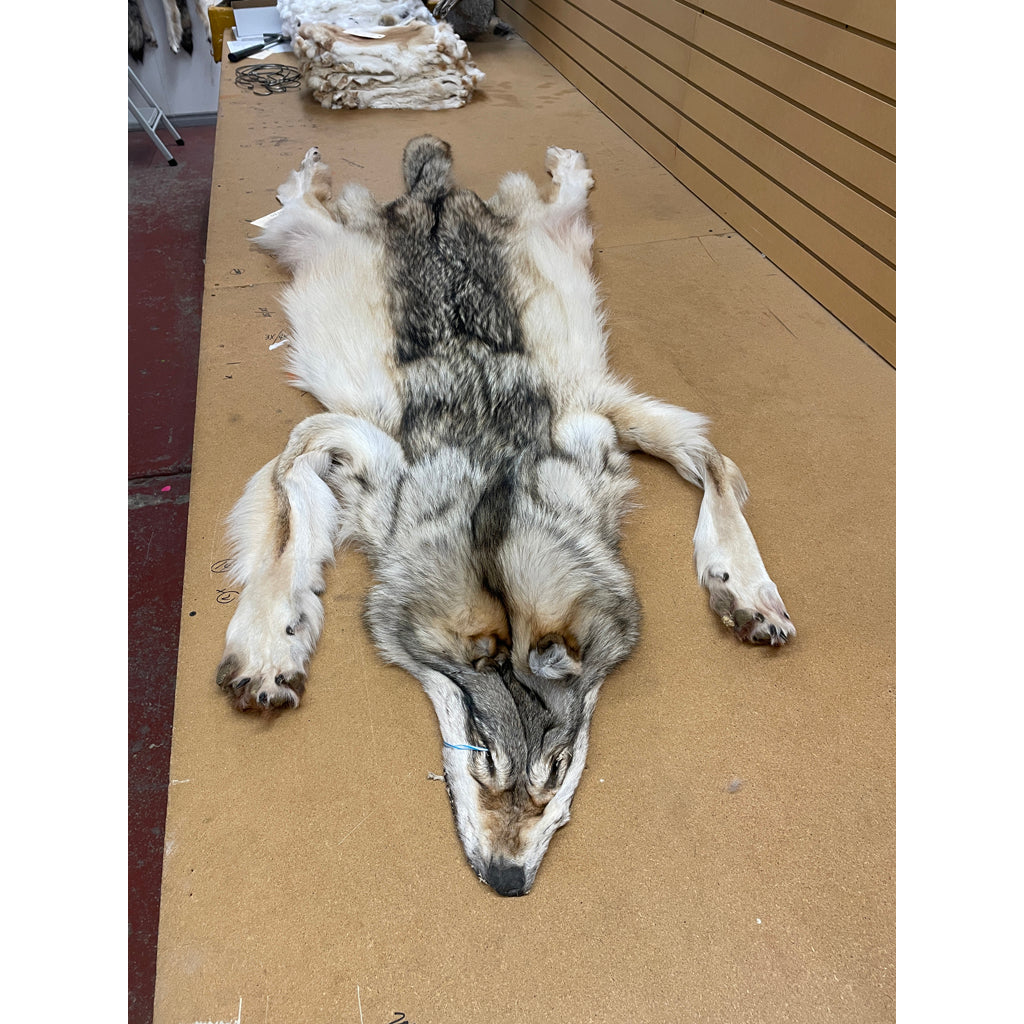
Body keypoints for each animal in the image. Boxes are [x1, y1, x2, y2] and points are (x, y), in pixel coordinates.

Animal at [215, 137, 794, 896]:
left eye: (556, 773)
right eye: (483, 758)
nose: (508, 881)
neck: (496, 506)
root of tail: (434, 192)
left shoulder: (604, 420)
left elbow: (714, 466)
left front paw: (746, 592)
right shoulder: (335, 443)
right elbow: (286, 520)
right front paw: (272, 647)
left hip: (567, 236)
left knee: (560, 196)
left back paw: (567, 163)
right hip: (302, 238)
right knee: (293, 196)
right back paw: (317, 162)